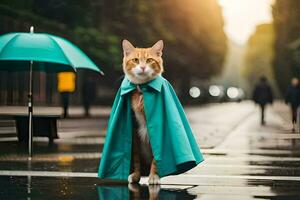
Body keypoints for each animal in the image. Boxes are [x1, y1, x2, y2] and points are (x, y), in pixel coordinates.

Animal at [122, 39, 164, 184]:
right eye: (135, 60)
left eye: (149, 60)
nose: (142, 67)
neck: (142, 90)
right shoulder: (133, 130)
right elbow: (135, 158)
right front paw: (136, 175)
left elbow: (156, 157)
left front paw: (154, 176)